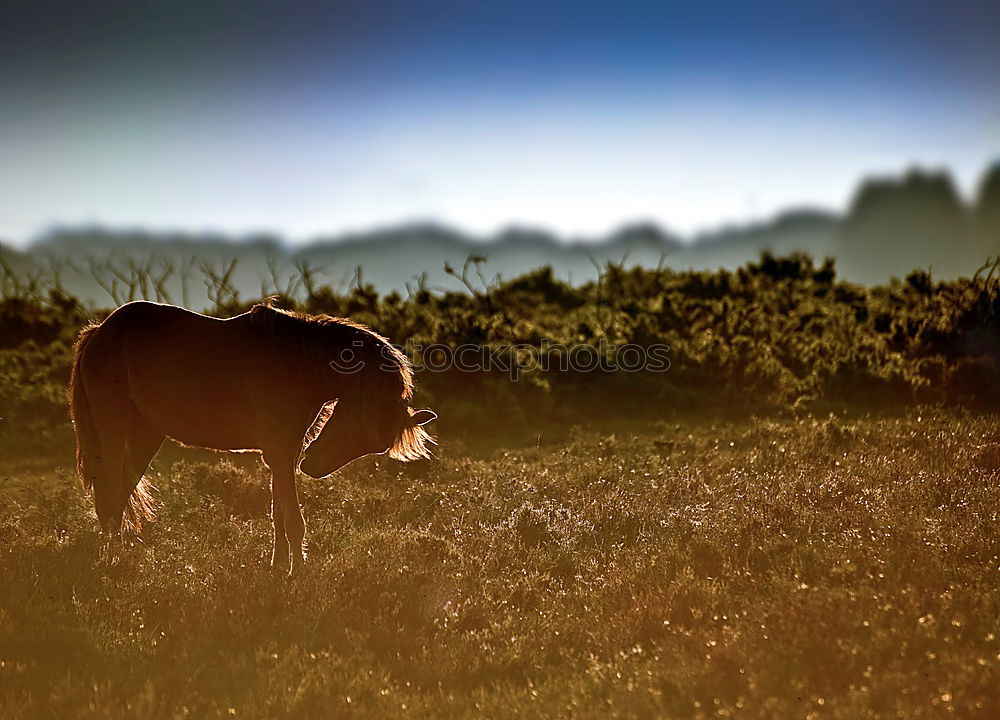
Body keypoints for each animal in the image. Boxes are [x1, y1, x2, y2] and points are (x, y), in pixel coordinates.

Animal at [66, 300, 434, 572]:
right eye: (357, 423)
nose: (313, 467)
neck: (299, 362)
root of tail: (99, 331)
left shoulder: (283, 452)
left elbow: (279, 515)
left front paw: (279, 568)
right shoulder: (281, 452)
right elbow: (293, 519)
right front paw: (299, 573)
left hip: (146, 436)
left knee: (119, 495)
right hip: (114, 432)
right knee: (111, 497)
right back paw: (114, 561)